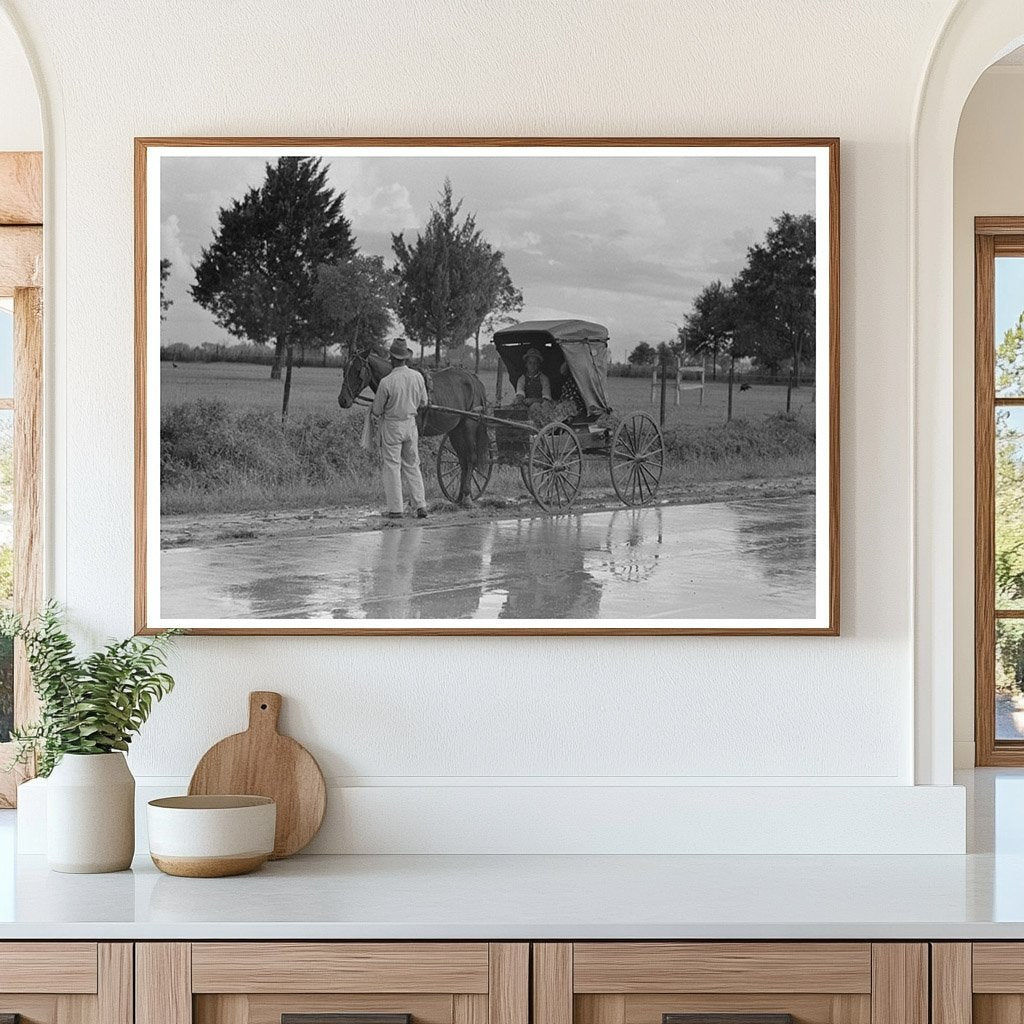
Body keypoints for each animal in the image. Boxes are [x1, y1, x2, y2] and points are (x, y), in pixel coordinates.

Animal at [337, 352, 489, 507]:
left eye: (358, 371)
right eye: (344, 370)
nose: (343, 400)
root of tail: (474, 379)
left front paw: (412, 500)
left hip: (468, 426)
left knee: (471, 458)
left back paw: (467, 496)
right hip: (455, 431)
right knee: (463, 461)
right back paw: (459, 497)